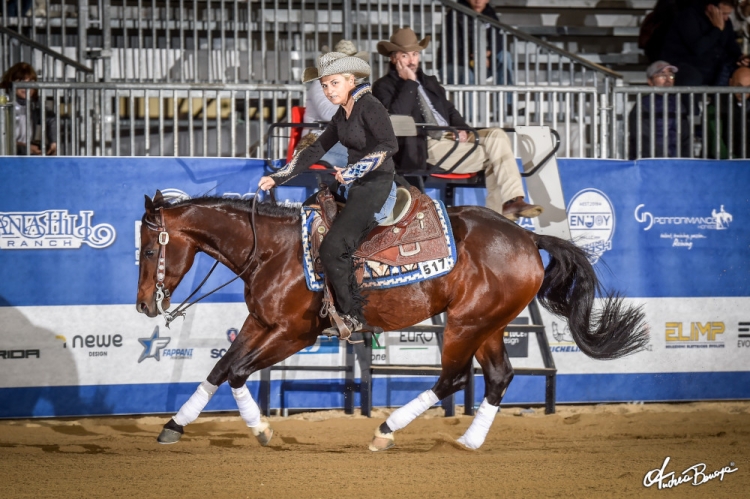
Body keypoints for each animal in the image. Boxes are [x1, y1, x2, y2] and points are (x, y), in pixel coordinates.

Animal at [138, 191, 648, 454]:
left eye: (146, 249)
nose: (144, 305)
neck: (276, 250)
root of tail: (526, 237)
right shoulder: (259, 322)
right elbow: (220, 369)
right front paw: (175, 425)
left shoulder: (294, 333)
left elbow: (240, 372)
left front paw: (262, 430)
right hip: (489, 325)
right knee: (499, 376)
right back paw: (469, 440)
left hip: (465, 325)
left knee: (452, 378)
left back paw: (386, 431)